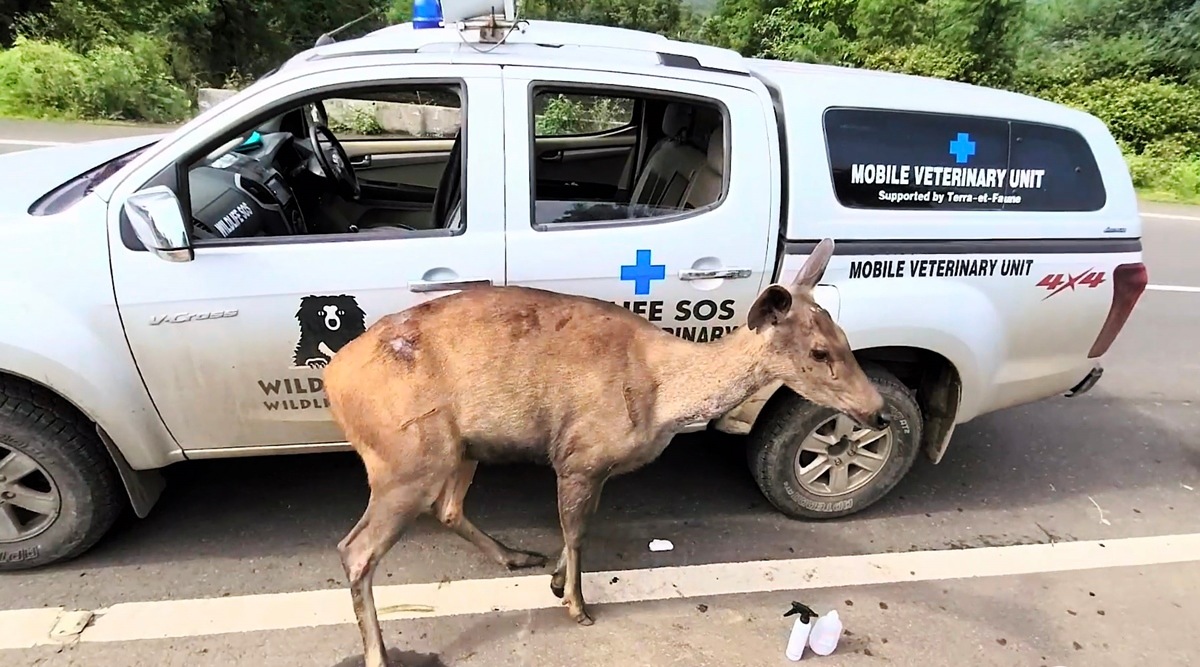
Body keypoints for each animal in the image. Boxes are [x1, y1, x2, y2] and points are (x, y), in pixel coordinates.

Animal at [322, 237, 890, 667]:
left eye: (842, 335)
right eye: (820, 351)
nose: (879, 412)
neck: (664, 393)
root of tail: (333, 378)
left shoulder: (594, 465)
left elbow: (580, 527)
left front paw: (555, 580)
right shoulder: (579, 454)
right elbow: (576, 530)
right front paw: (576, 605)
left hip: (459, 447)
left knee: (445, 508)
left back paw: (514, 556)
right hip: (406, 453)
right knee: (355, 548)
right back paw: (378, 655)